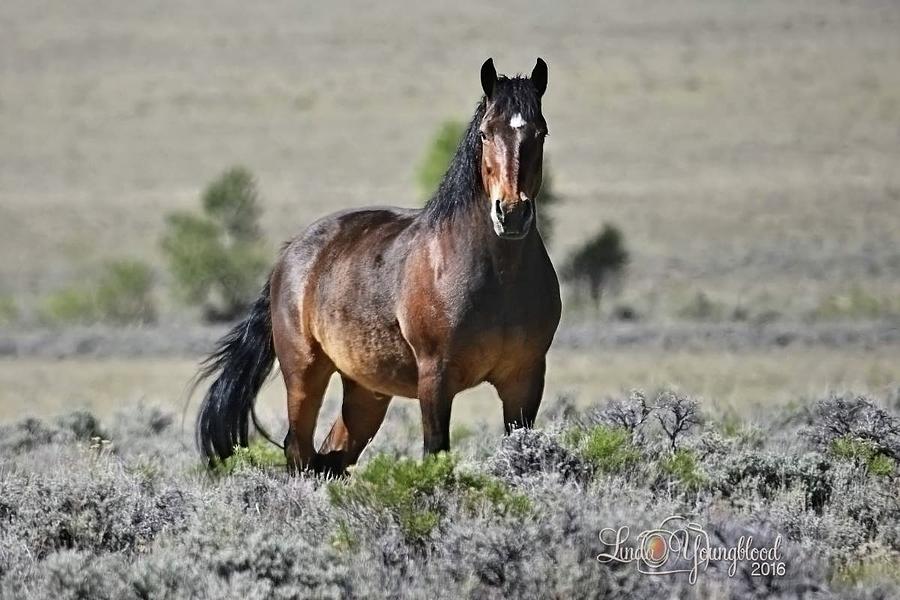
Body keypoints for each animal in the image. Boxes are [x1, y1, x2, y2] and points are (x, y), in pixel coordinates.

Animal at [196, 58, 560, 476]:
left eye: (541, 132)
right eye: (485, 133)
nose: (511, 214)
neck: (498, 279)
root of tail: (289, 255)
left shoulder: (524, 380)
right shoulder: (435, 379)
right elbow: (435, 452)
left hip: (366, 390)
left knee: (331, 457)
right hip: (304, 374)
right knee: (298, 450)